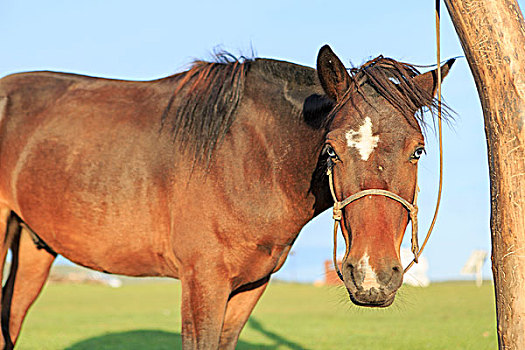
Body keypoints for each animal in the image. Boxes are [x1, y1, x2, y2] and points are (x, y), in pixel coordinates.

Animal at [0, 45, 452, 348]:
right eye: (331, 150)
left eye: (418, 150)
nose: (372, 276)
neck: (252, 158)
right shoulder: (203, 283)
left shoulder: (249, 286)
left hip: (34, 250)